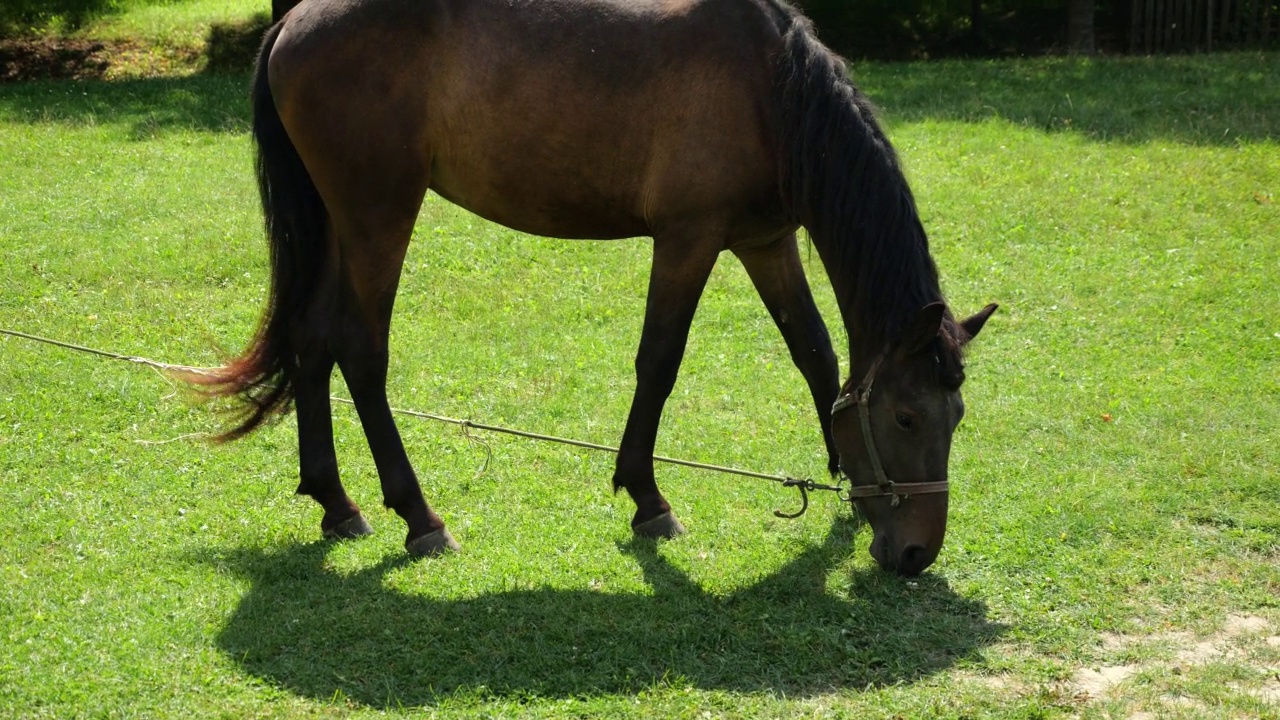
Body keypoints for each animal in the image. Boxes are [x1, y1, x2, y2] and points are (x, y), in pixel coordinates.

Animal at [197, 0, 998, 573]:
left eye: (956, 416)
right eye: (906, 418)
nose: (917, 553)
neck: (770, 86)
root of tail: (293, 21)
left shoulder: (764, 242)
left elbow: (816, 353)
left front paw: (843, 483)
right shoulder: (688, 240)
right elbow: (659, 362)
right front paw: (648, 499)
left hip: (339, 222)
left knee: (311, 341)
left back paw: (337, 503)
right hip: (379, 216)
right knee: (361, 352)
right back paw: (420, 518)